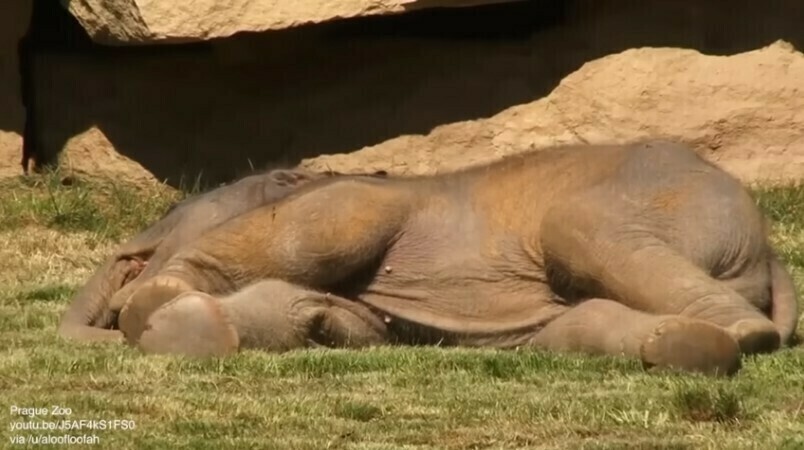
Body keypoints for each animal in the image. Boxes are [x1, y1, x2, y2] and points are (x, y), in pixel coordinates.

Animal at [94, 142, 796, 374]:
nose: (124, 269)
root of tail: (771, 257)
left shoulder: (356, 200)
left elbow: (314, 233)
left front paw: (148, 307)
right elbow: (321, 315)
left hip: (669, 199)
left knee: (578, 230)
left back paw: (744, 336)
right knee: (579, 326)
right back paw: (689, 346)